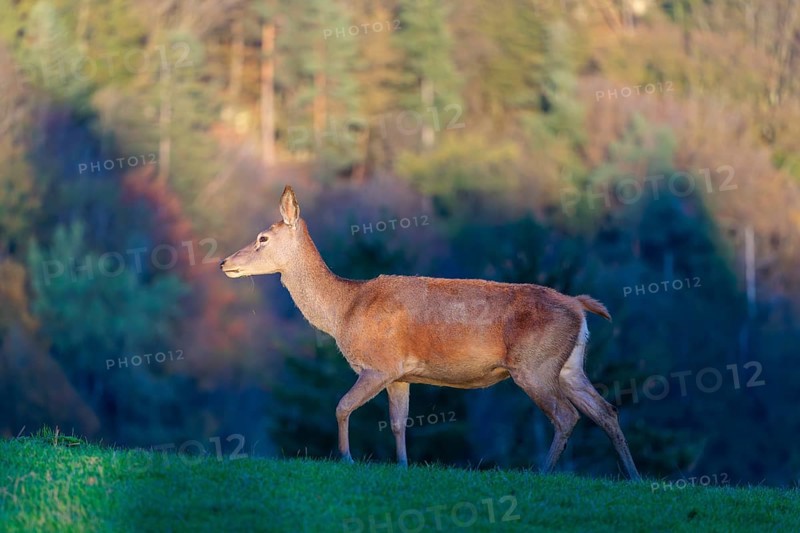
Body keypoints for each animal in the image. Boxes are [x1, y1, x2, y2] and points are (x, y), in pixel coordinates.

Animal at [220, 185, 641, 480]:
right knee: (606, 410)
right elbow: (398, 422)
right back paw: (633, 476)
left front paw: (347, 458)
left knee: (566, 415)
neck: (344, 311)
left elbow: (341, 406)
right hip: (569, 366)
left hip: (533, 365)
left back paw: (542, 472)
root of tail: (580, 306)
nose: (224, 262)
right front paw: (403, 466)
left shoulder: (378, 364)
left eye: (262, 238)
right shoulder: (401, 375)